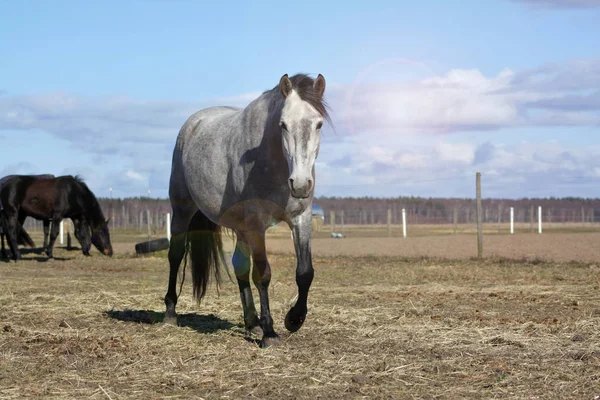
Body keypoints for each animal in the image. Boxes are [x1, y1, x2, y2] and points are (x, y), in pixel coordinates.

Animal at [164, 72, 330, 346]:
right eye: (283, 125)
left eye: (319, 124)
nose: (300, 184)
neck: (274, 163)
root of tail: (192, 124)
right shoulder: (256, 224)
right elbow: (262, 274)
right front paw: (270, 332)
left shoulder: (301, 219)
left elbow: (305, 272)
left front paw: (294, 320)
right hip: (182, 211)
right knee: (175, 255)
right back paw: (170, 312)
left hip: (240, 227)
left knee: (239, 265)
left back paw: (252, 322)